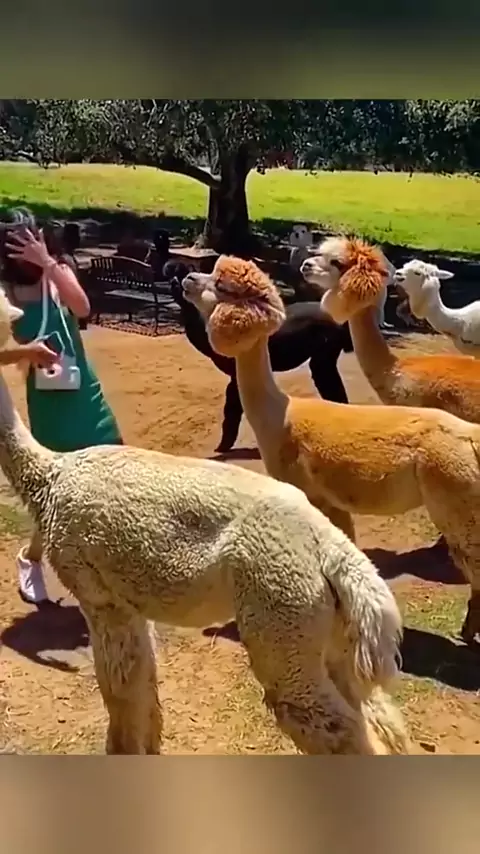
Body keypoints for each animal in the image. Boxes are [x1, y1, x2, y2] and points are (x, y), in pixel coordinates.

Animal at [182, 253, 480, 645]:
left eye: (221, 286)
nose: (187, 278)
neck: (279, 415)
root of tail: (472, 437)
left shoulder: (313, 493)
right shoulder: (332, 502)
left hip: (455, 503)